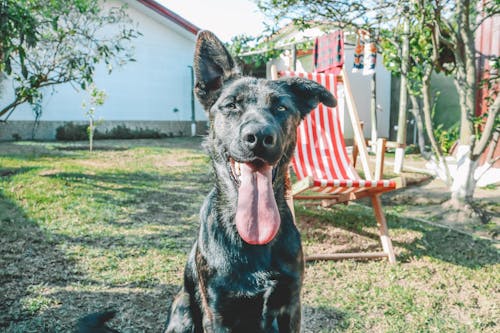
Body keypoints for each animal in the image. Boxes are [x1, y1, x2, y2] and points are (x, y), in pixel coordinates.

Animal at [164, 29, 336, 330]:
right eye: (232, 105)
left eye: (281, 107)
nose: (259, 136)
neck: (252, 236)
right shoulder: (218, 314)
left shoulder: (291, 307)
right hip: (183, 309)